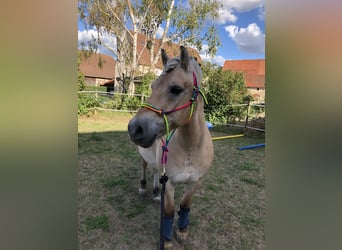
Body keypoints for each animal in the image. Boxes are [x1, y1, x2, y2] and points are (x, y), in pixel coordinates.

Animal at [128, 46, 214, 247]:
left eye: (176, 89)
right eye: (152, 86)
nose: (135, 128)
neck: (190, 148)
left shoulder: (196, 182)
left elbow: (185, 206)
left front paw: (182, 232)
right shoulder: (170, 184)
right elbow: (168, 211)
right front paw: (166, 242)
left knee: (155, 171)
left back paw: (155, 193)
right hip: (143, 156)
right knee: (144, 167)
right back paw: (143, 188)